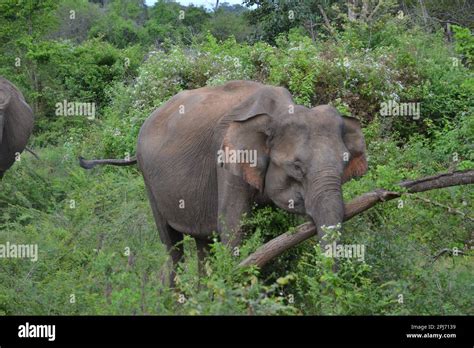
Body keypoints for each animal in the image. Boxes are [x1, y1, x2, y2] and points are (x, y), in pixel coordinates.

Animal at [79, 80, 368, 284]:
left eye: (344, 164)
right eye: (297, 167)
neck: (278, 113)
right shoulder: (227, 161)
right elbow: (232, 227)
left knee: (202, 244)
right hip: (148, 178)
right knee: (172, 246)